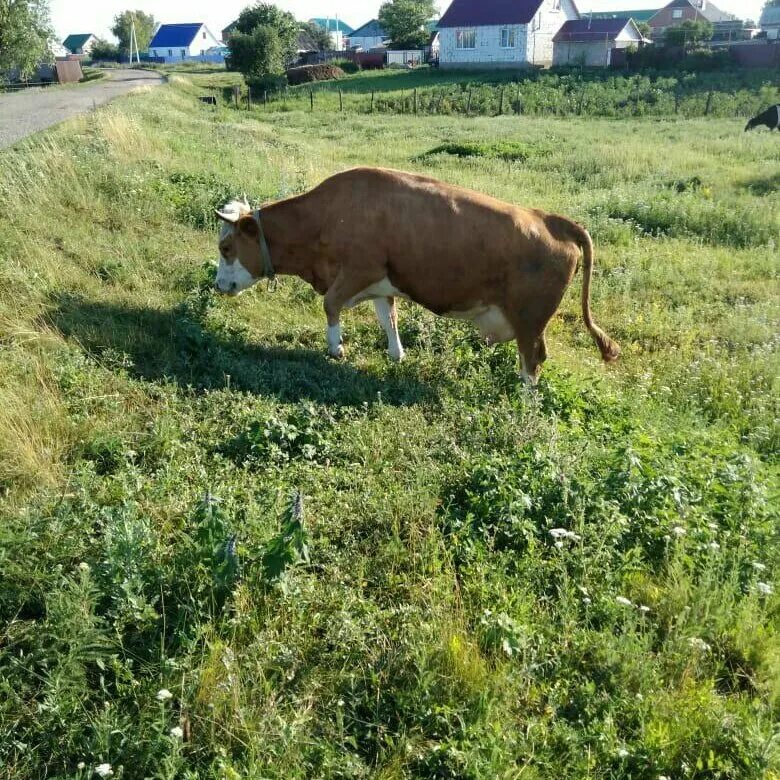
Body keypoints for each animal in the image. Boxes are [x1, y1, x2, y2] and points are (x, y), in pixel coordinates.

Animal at [212, 168, 616, 384]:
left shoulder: (358, 269)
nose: (218, 286)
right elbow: (387, 318)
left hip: (529, 319)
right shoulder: (380, 283)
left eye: (226, 247)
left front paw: (335, 348)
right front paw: (396, 354)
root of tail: (552, 220)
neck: (325, 217)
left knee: (532, 361)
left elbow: (330, 305)